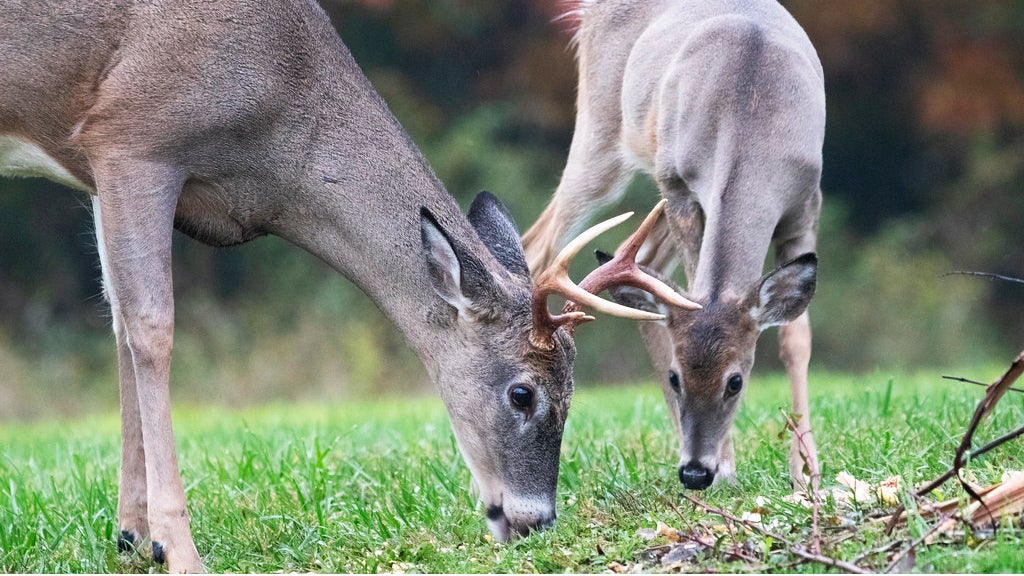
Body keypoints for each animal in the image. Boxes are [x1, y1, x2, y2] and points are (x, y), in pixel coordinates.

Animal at [0, 0, 700, 569]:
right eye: (523, 394)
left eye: (574, 393)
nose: (536, 521)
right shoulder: (131, 139)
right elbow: (151, 329)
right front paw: (178, 549)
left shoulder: (98, 170)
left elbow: (118, 320)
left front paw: (132, 536)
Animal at [524, 0, 827, 491]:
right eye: (676, 377)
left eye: (736, 381)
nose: (696, 472)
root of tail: (588, 12)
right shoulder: (681, 186)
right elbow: (690, 292)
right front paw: (729, 465)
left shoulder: (806, 201)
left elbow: (795, 339)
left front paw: (806, 471)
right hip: (602, 137)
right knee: (540, 247)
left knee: (643, 267)